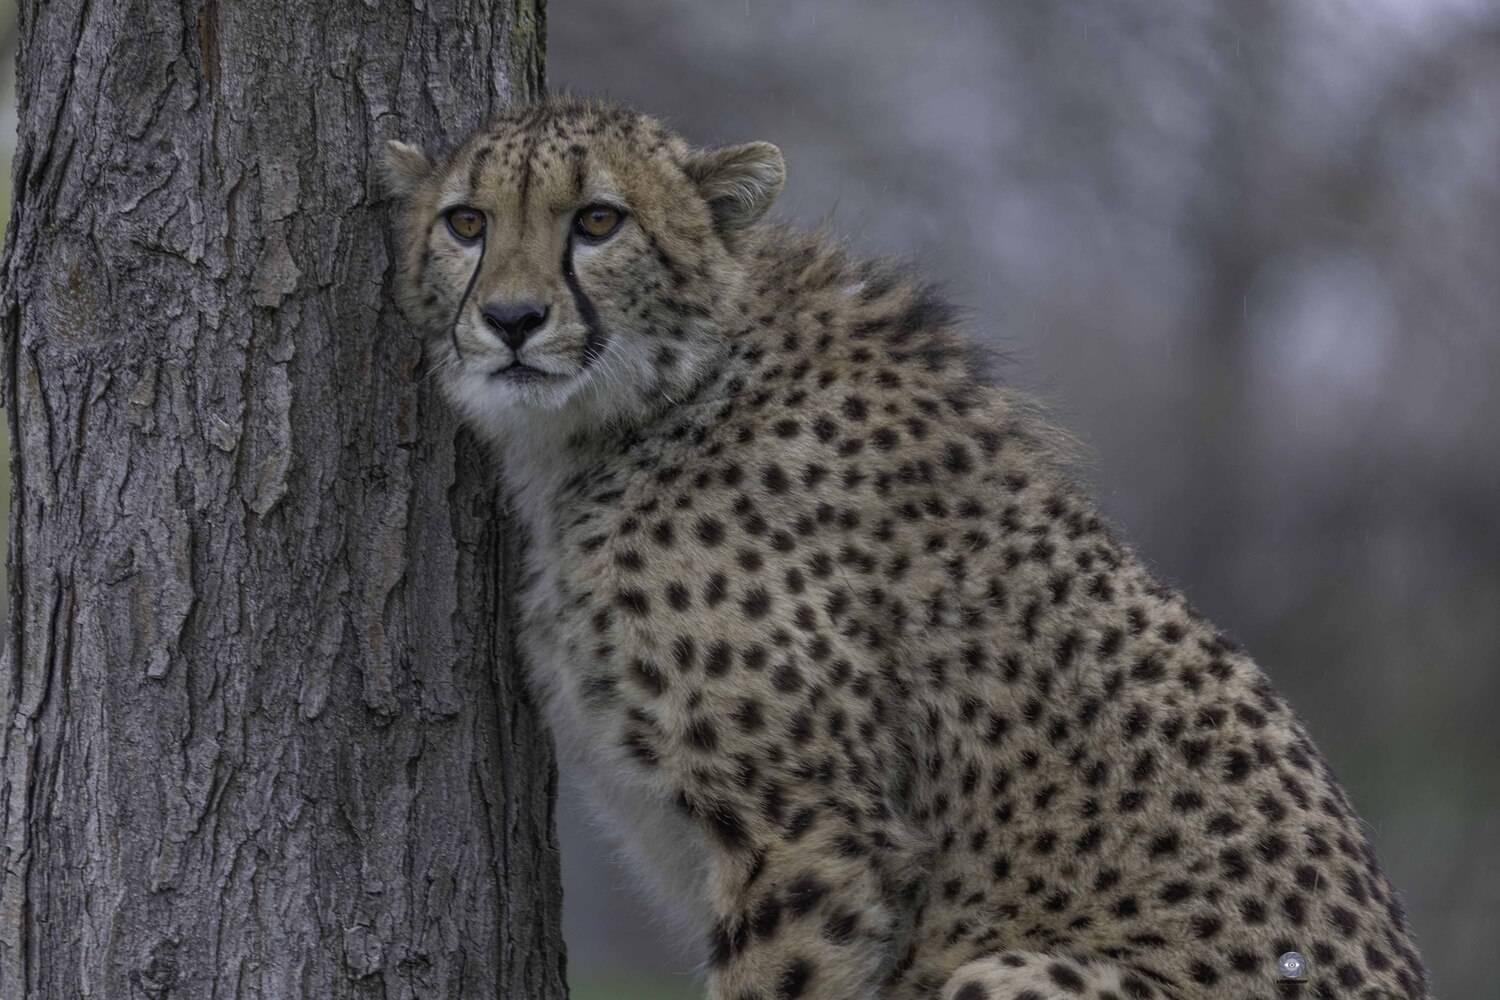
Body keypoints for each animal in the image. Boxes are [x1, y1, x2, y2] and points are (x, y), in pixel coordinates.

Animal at [382, 97, 1430, 1000]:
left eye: (598, 221)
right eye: (466, 223)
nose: (511, 321)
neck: (657, 403)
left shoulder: (813, 831)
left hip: (1010, 968)